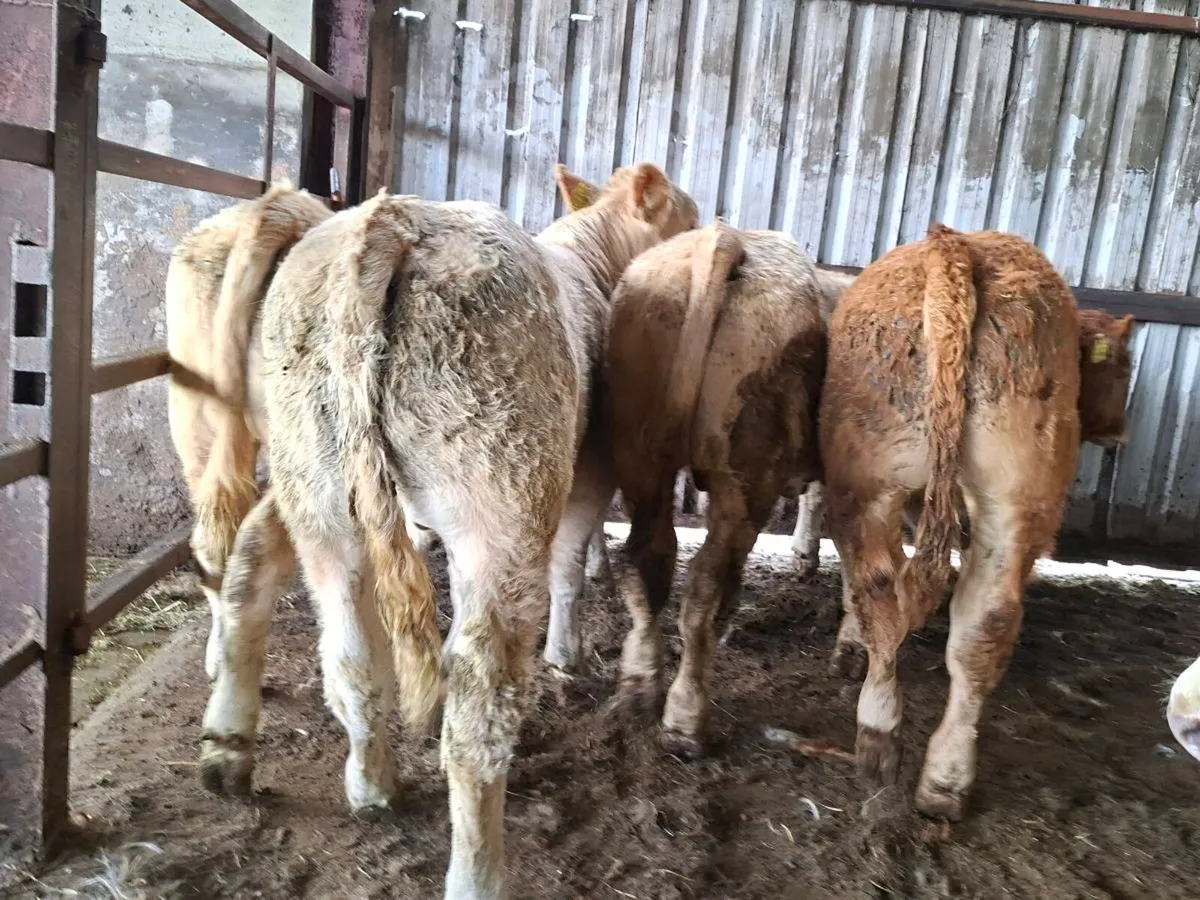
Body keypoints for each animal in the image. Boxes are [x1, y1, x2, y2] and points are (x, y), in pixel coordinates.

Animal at [198, 164, 698, 900]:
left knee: (326, 632)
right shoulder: (588, 466)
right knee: (478, 703)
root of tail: (390, 220)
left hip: (313, 486)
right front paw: (567, 652)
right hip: (500, 500)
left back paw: (331, 773)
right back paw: (477, 871)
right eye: (686, 222)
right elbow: (570, 562)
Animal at [592, 222, 853, 757]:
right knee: (707, 587)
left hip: (641, 456)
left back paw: (638, 689)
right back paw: (686, 719)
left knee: (647, 562)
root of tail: (725, 238)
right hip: (746, 480)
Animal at [818, 224, 1137, 822]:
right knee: (958, 611)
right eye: (1121, 368)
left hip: (877, 486)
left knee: (910, 601)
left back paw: (902, 752)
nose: (1118, 434)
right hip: (1005, 501)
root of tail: (953, 248)